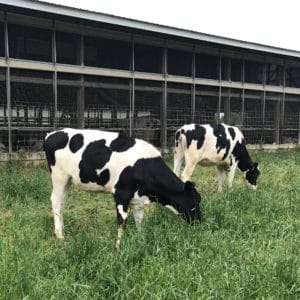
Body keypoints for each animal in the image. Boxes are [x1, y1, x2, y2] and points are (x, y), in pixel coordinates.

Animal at [44, 128, 202, 248]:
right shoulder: (121, 194)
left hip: (68, 180)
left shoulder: (138, 199)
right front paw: (118, 247)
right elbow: (122, 222)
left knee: (62, 203)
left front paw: (140, 239)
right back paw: (59, 235)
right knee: (56, 202)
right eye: (195, 203)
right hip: (59, 177)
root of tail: (52, 134)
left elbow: (139, 220)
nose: (200, 222)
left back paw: (62, 230)